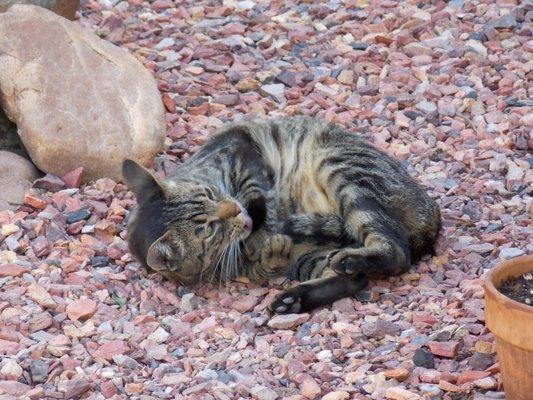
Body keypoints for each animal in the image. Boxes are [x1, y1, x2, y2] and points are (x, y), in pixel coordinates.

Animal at [123, 117, 440, 314]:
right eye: (210, 228)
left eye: (210, 193)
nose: (233, 209)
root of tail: (431, 213)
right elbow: (263, 263)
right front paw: (269, 251)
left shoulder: (238, 144)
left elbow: (253, 186)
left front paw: (261, 212)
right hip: (310, 257)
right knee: (356, 276)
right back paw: (293, 299)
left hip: (341, 169)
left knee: (396, 252)